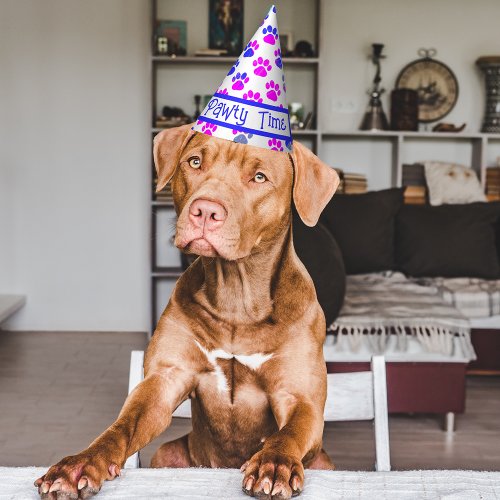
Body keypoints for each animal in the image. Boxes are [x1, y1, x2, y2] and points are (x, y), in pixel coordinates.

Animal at [35, 125, 340, 500]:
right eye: (195, 162)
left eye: (259, 177)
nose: (205, 211)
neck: (237, 298)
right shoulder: (164, 380)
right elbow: (122, 426)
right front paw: (81, 463)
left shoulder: (299, 397)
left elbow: (289, 433)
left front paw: (274, 464)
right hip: (168, 455)